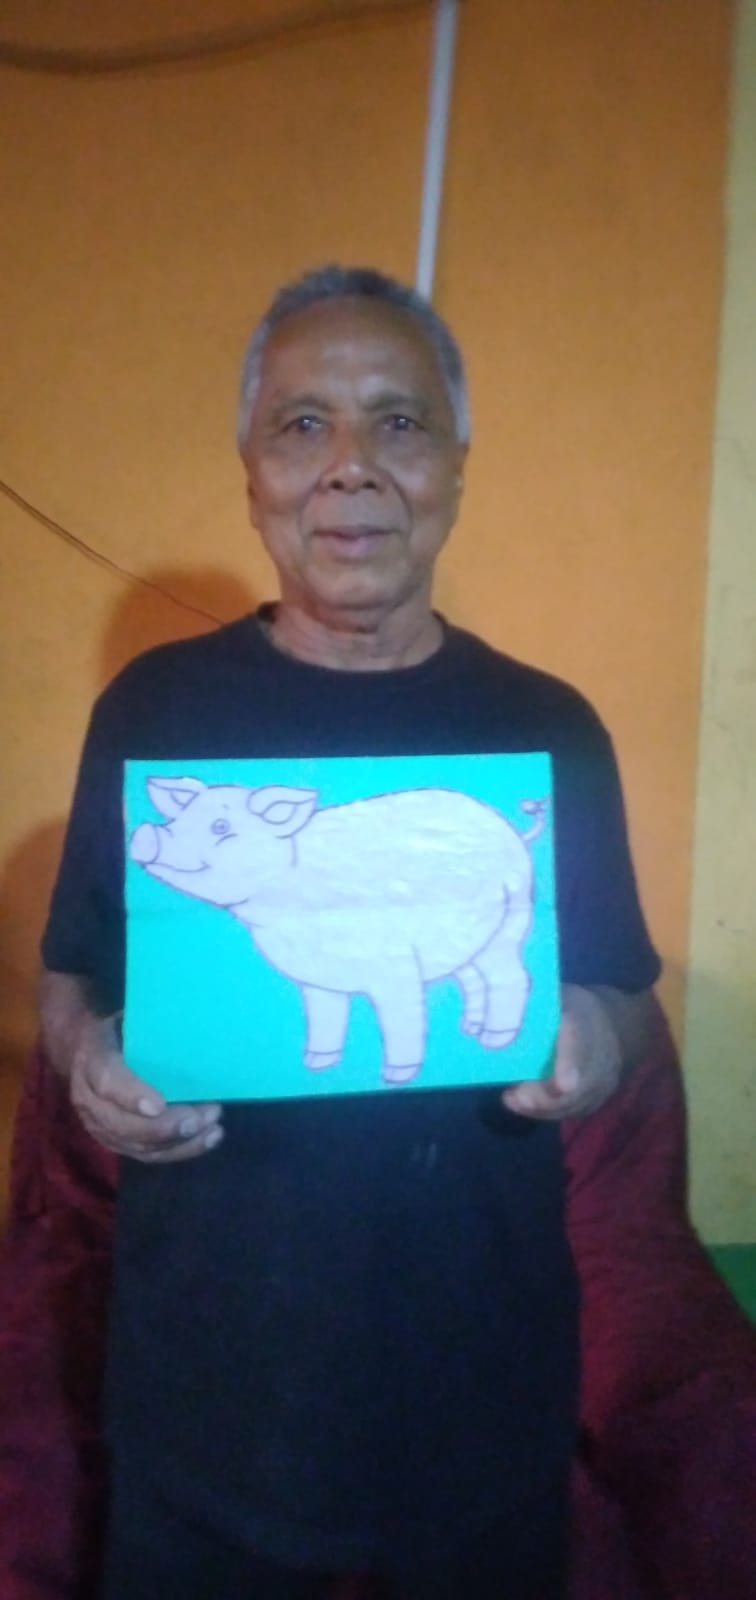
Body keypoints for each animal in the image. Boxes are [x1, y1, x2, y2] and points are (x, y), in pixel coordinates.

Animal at [129, 779, 545, 1087]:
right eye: (179, 822)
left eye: (221, 827)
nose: (145, 832)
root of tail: (514, 833)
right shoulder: (316, 980)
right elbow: (325, 1019)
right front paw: (317, 1065)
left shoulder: (396, 966)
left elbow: (403, 1019)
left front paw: (396, 1077)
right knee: (472, 979)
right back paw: (469, 1029)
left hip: (510, 922)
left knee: (513, 977)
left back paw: (494, 1040)